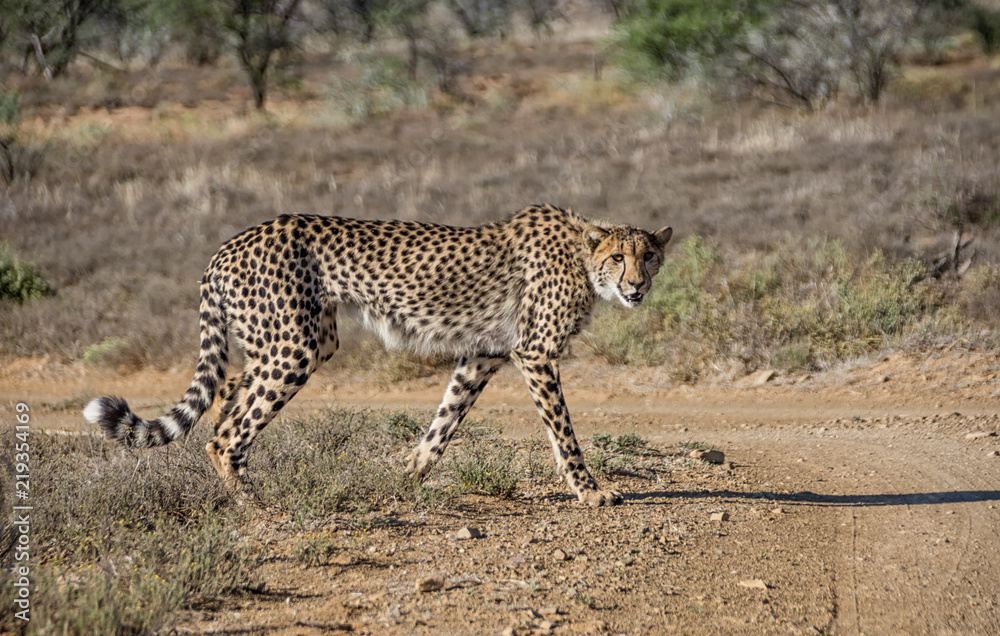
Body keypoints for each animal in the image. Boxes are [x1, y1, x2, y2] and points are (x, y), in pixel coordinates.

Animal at [84, 204, 672, 506]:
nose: (637, 287)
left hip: (294, 341)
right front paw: (591, 492)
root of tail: (228, 244)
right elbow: (564, 432)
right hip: (295, 347)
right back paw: (255, 501)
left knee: (224, 404)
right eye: (618, 257)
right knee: (227, 432)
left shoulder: (483, 353)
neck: (582, 257)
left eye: (650, 256)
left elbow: (443, 423)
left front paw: (406, 476)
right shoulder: (535, 353)